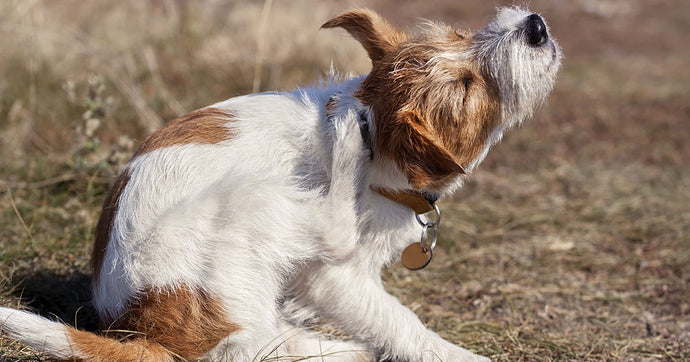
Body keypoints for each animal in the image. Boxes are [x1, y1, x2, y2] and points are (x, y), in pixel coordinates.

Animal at [0, 6, 560, 362]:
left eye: (461, 36)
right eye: (467, 87)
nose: (534, 25)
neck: (380, 141)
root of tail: (145, 328)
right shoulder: (335, 279)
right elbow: (399, 320)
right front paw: (455, 354)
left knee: (260, 342)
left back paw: (339, 350)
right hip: (250, 200)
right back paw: (344, 143)